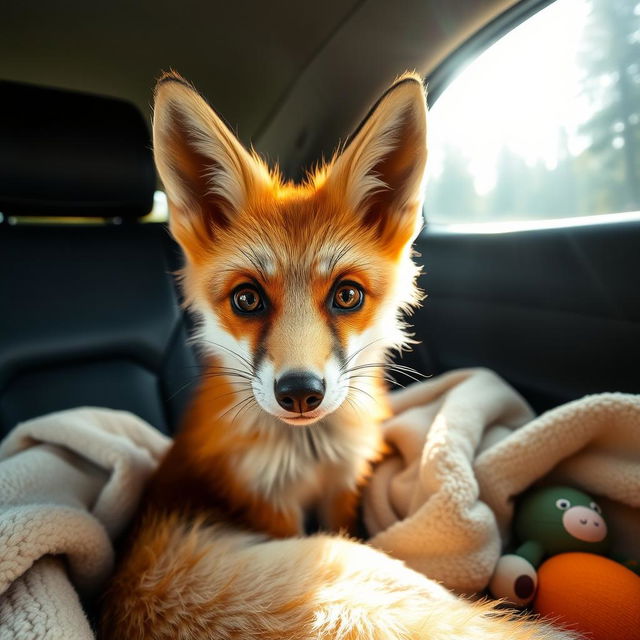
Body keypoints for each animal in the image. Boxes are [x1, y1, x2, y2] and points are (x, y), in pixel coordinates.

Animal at [99, 72, 576, 636]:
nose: (300, 392)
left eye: (346, 295)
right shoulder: (268, 502)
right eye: (247, 299)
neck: (309, 455)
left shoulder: (343, 486)